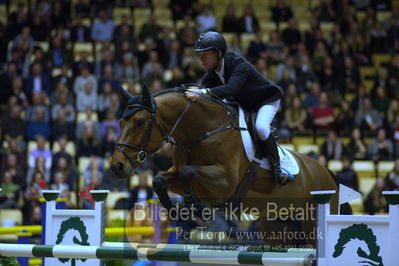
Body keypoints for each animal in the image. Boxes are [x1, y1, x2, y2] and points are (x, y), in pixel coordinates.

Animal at [111, 84, 340, 247]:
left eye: (140, 121)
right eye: (121, 122)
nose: (116, 166)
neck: (200, 132)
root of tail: (328, 174)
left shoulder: (226, 182)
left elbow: (188, 173)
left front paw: (199, 210)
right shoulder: (178, 175)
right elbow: (160, 180)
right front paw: (179, 216)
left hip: (313, 223)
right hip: (277, 227)